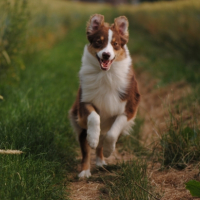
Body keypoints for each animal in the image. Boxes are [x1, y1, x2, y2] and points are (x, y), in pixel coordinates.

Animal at [69, 13, 140, 177]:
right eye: (98, 42)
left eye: (115, 44)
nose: (106, 55)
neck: (106, 75)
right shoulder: (84, 101)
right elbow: (94, 117)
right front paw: (93, 138)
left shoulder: (130, 107)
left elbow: (112, 133)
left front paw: (108, 150)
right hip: (81, 128)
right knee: (86, 152)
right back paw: (85, 171)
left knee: (105, 140)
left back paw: (101, 161)